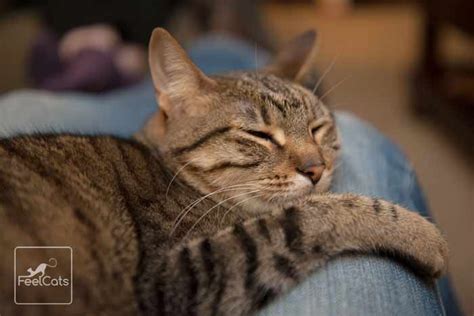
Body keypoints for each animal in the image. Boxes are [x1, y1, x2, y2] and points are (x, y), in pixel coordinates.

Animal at [0, 28, 448, 314]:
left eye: (318, 127)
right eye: (259, 135)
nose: (316, 168)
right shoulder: (175, 277)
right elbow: (315, 214)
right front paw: (422, 235)